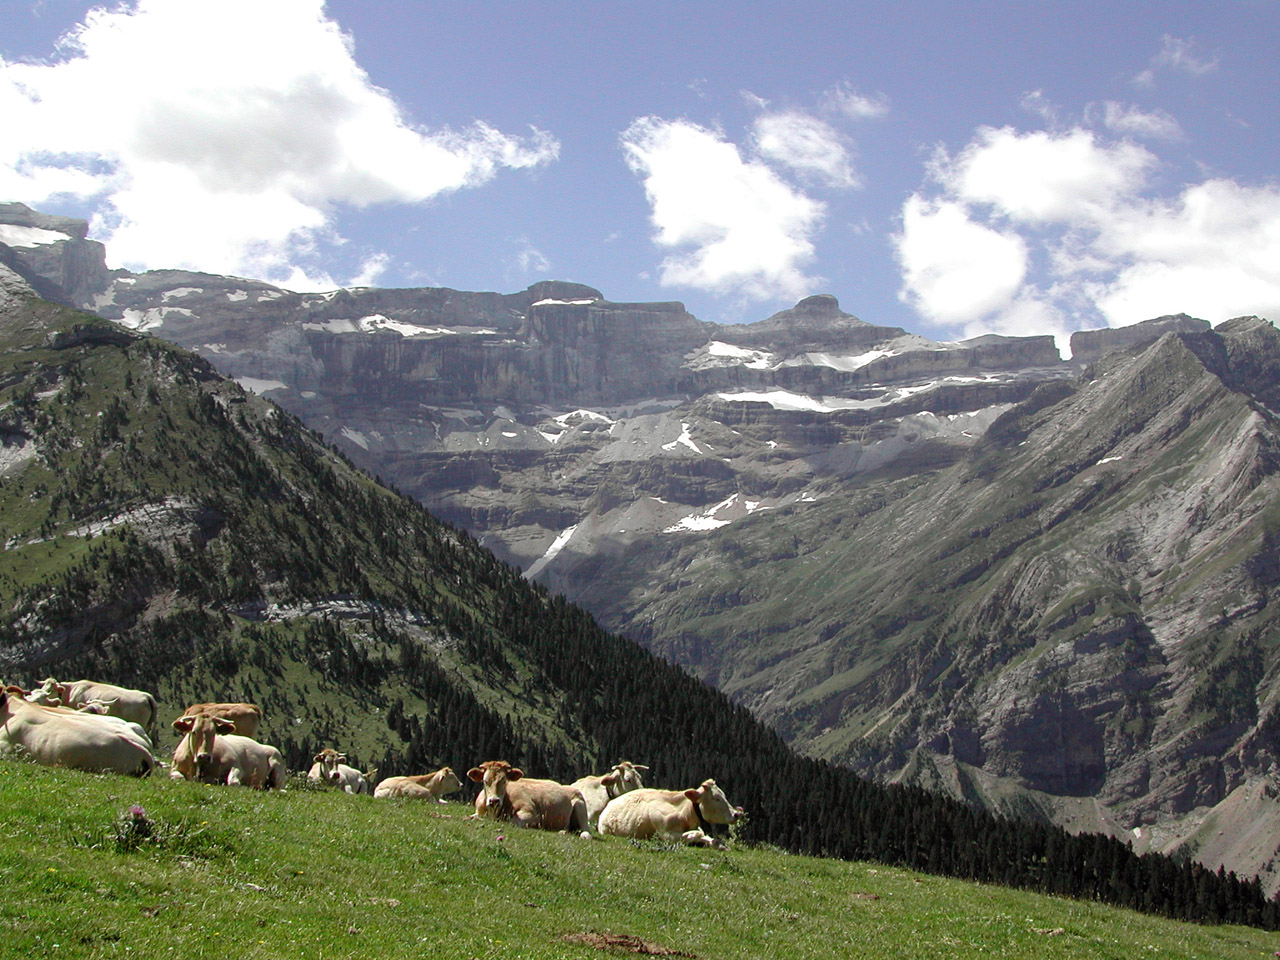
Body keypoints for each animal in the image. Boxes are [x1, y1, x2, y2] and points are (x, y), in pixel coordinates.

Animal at [601, 783, 747, 849]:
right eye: (716, 798)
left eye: (724, 795)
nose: (736, 814)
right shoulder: (666, 834)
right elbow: (694, 835)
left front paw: (719, 844)